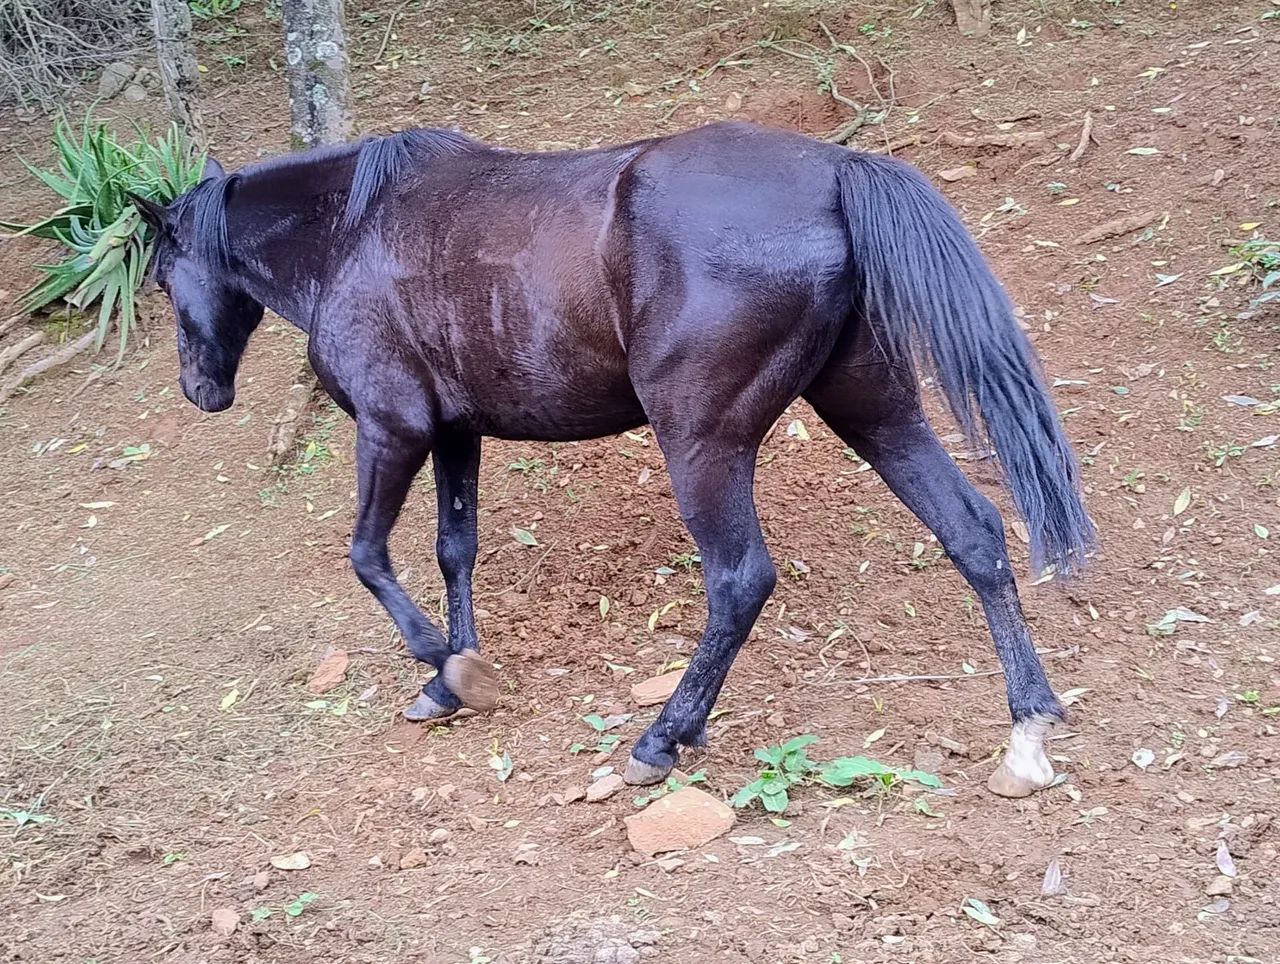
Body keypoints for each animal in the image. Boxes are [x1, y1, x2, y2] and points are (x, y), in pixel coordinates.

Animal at [130, 120, 1095, 799]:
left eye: (163, 276)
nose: (198, 388)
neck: (351, 232)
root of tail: (834, 169)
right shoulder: (454, 434)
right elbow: (454, 550)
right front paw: (455, 678)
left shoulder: (391, 427)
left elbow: (367, 555)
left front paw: (440, 663)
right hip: (877, 413)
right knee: (974, 533)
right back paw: (1028, 730)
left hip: (702, 442)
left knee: (740, 580)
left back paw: (661, 738)